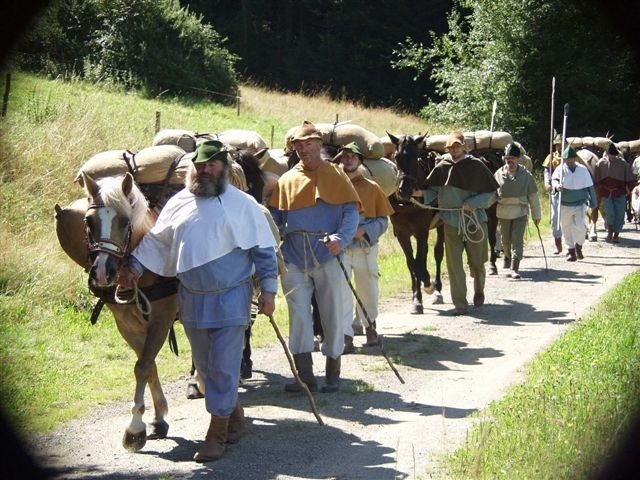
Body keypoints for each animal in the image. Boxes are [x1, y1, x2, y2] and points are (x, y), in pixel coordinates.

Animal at [54, 172, 179, 450]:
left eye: (124, 221)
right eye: (88, 221)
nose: (102, 272)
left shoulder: (162, 320)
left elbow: (143, 367)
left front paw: (134, 428)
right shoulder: (127, 325)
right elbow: (148, 366)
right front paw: (157, 418)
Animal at [388, 133, 442, 316]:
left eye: (414, 157)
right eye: (396, 157)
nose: (404, 190)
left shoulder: (421, 230)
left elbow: (419, 262)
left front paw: (428, 285)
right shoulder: (401, 233)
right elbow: (412, 263)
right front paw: (416, 298)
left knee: (438, 252)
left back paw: (437, 289)